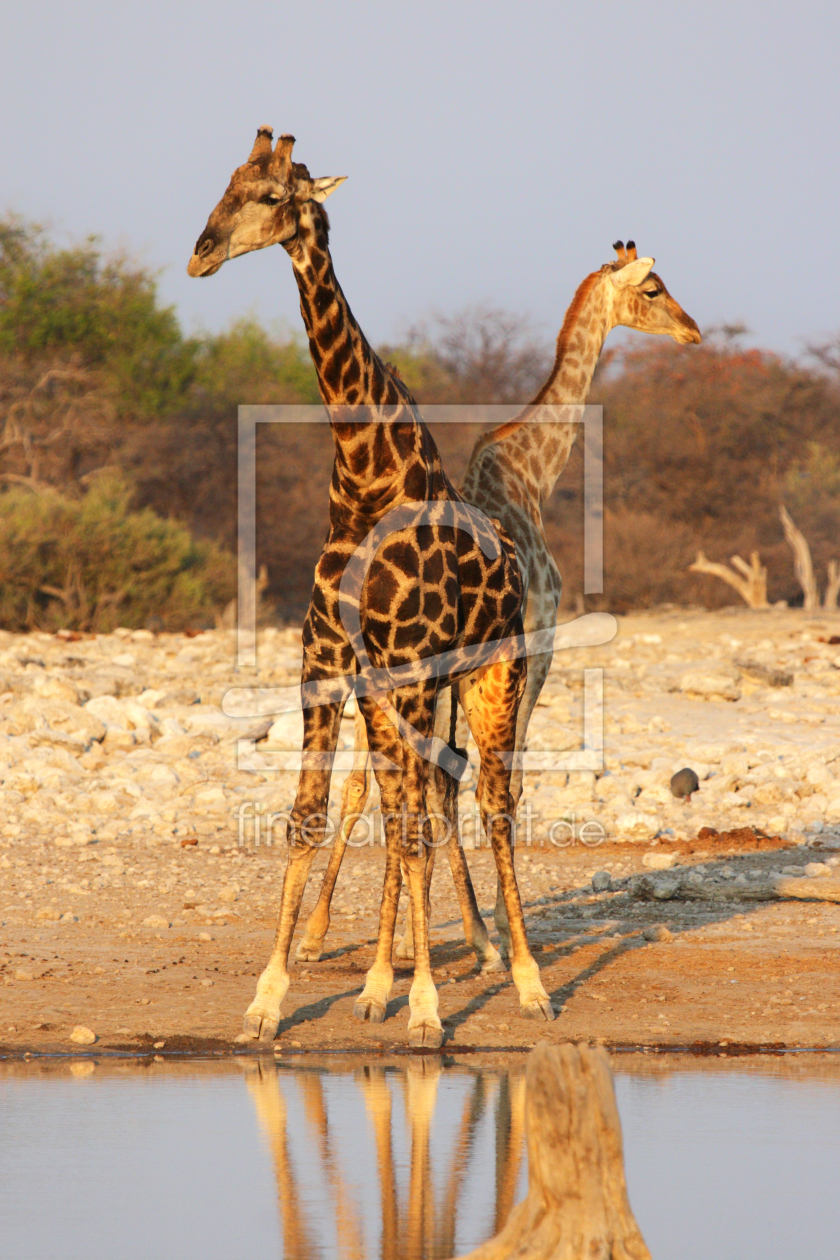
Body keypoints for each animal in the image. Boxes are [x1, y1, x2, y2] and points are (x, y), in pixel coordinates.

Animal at [185, 130, 551, 1053]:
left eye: (275, 196)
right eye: (229, 182)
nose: (201, 252)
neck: (362, 475)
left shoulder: (414, 671)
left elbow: (420, 826)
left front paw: (427, 1010)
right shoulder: (325, 666)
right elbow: (311, 816)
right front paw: (270, 999)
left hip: (490, 678)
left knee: (491, 804)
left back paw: (526, 980)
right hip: (393, 694)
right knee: (401, 806)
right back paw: (381, 982)